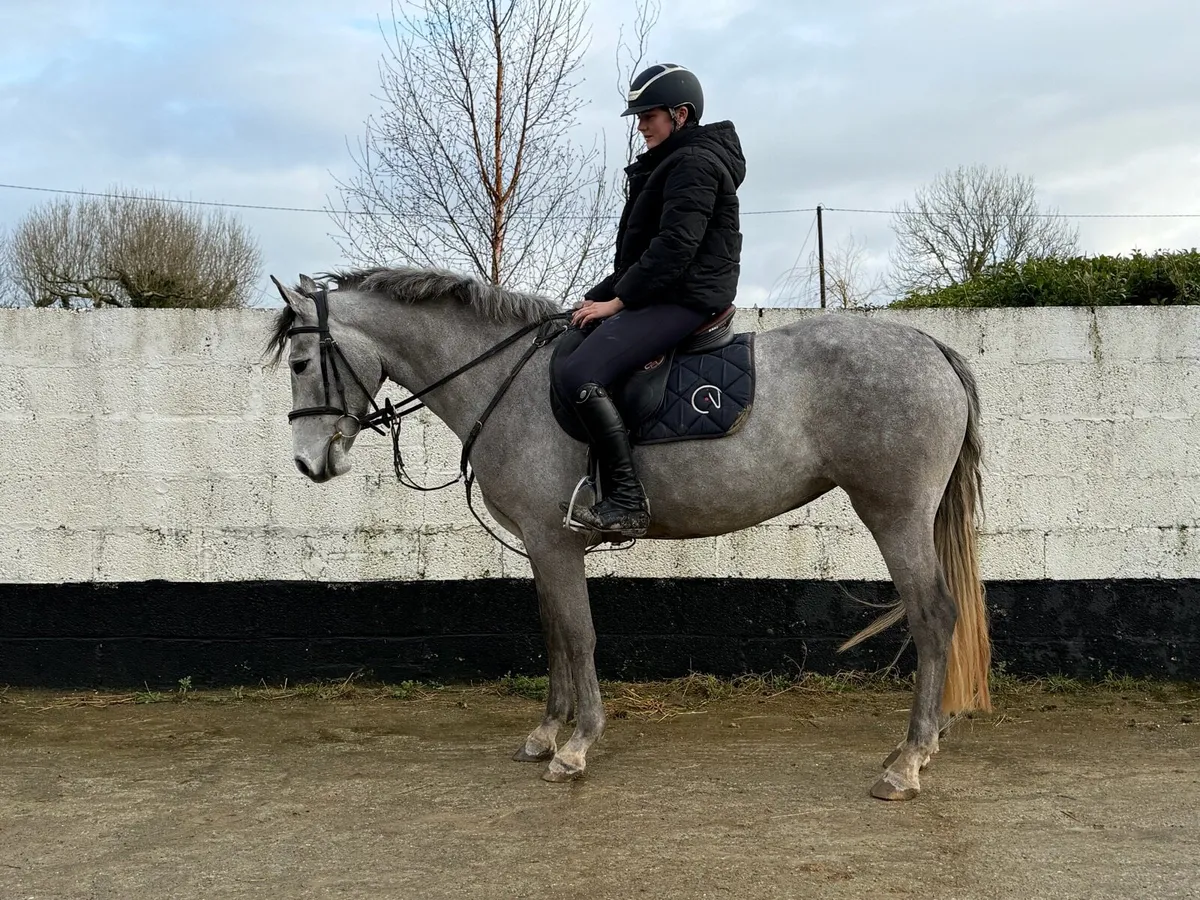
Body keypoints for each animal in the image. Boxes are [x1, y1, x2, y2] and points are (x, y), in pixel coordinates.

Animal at [266, 266, 991, 801]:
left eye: (301, 362)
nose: (308, 463)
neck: (508, 383)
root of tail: (931, 346)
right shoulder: (542, 547)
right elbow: (555, 634)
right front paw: (545, 733)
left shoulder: (555, 542)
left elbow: (579, 635)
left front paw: (575, 747)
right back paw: (920, 747)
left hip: (894, 513)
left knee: (933, 616)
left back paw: (907, 762)